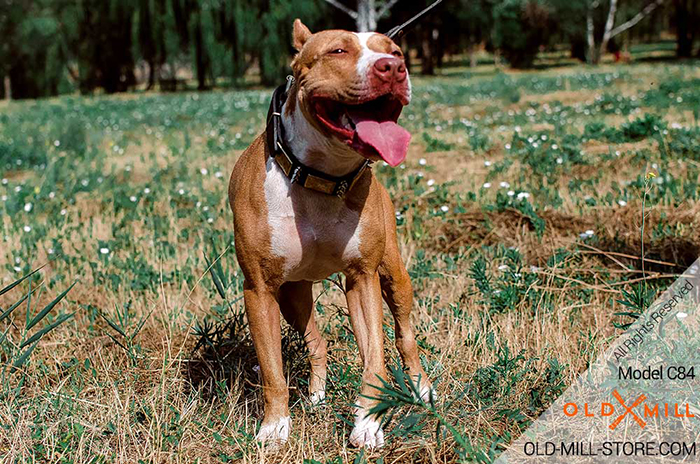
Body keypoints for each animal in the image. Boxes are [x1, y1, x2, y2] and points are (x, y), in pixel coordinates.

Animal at [227, 19, 432, 450]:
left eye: (395, 51)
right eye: (338, 50)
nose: (392, 68)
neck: (321, 176)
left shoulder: (364, 275)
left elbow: (377, 356)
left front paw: (367, 423)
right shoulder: (259, 290)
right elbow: (272, 370)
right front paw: (274, 427)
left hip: (392, 276)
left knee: (402, 335)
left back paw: (422, 389)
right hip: (293, 294)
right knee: (317, 342)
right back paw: (318, 397)